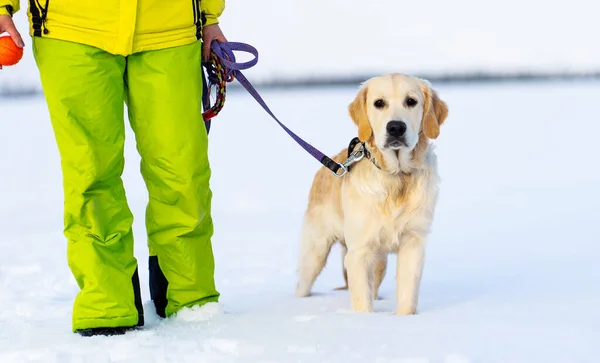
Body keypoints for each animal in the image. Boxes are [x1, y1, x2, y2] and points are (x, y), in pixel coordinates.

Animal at [292, 74, 448, 316]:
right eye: (379, 103)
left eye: (411, 101)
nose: (396, 128)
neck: (396, 177)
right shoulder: (359, 252)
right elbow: (362, 300)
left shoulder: (413, 241)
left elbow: (408, 293)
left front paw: (405, 318)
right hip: (315, 251)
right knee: (303, 283)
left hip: (379, 260)